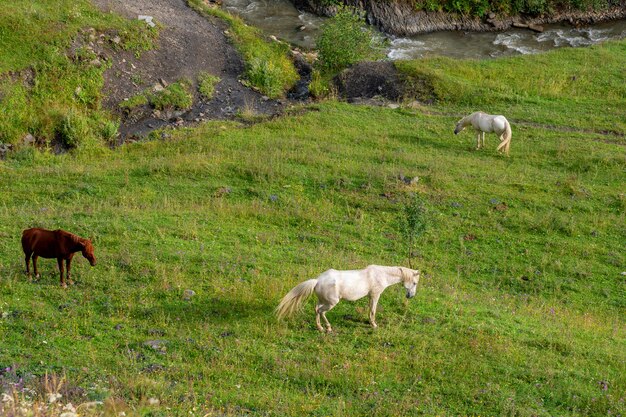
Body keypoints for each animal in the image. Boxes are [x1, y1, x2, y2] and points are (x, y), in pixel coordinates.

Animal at [274, 264, 416, 332]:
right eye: (415, 283)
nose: (411, 296)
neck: (381, 275)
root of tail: (317, 281)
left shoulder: (370, 296)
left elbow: (370, 310)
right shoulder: (375, 295)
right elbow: (373, 310)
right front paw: (374, 325)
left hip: (322, 301)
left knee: (316, 310)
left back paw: (320, 328)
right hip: (332, 303)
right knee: (321, 311)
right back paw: (328, 328)